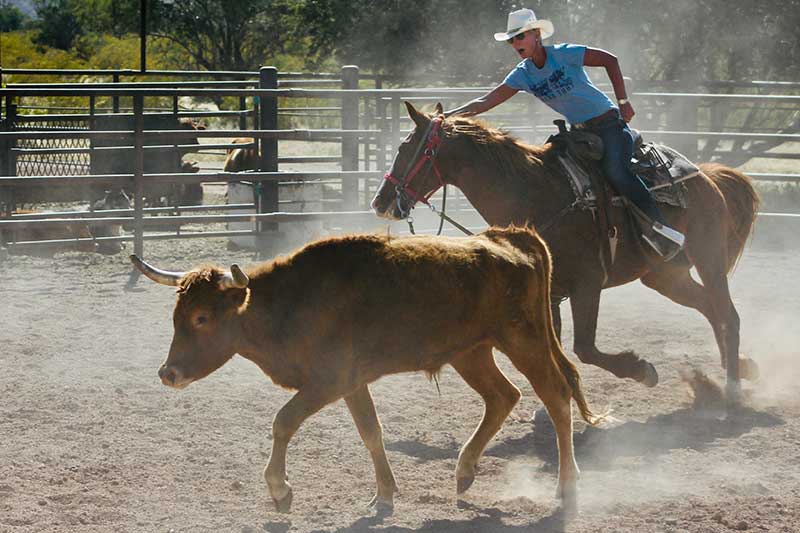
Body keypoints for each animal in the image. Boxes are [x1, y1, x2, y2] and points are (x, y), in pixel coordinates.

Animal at [131, 225, 600, 516]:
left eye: (202, 318)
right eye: (177, 315)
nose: (168, 373)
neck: (290, 303)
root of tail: (511, 238)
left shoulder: (328, 381)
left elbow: (283, 421)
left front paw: (280, 489)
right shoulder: (352, 383)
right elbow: (371, 432)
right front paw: (384, 494)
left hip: (524, 340)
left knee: (556, 396)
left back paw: (566, 484)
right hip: (472, 352)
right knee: (503, 397)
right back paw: (465, 470)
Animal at [372, 102, 760, 402]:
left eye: (406, 149)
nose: (381, 201)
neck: (536, 194)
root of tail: (705, 175)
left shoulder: (587, 284)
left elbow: (584, 348)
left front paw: (641, 369)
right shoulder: (551, 292)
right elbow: (553, 352)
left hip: (709, 258)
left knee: (729, 314)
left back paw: (732, 388)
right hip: (664, 276)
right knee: (710, 307)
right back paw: (736, 369)